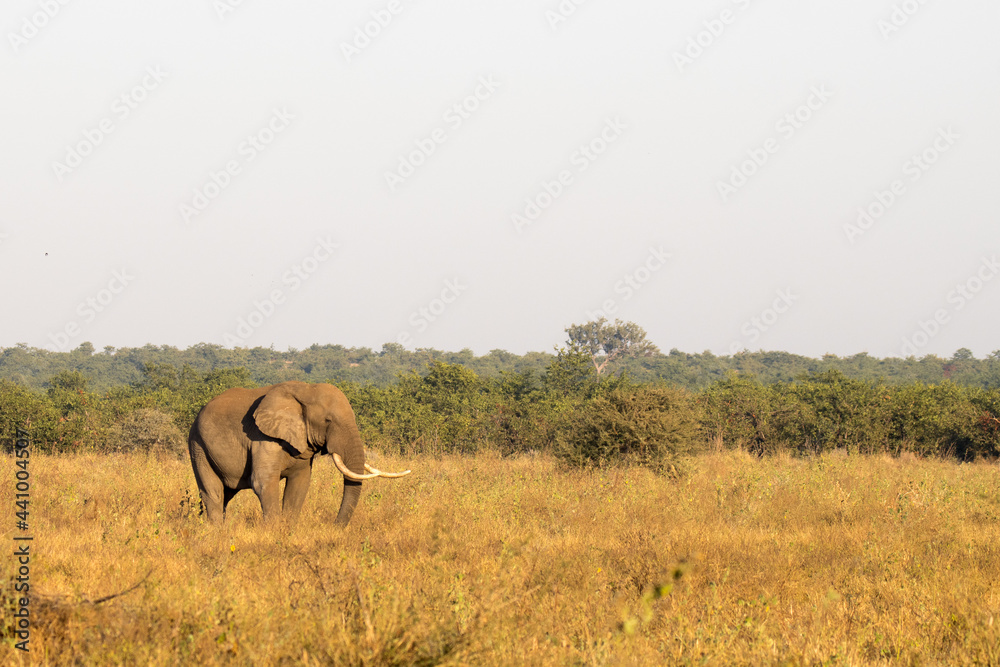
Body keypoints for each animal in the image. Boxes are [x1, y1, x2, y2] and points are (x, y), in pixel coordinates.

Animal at [188, 380, 409, 526]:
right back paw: (217, 532)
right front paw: (273, 533)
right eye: (328, 421)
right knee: (213, 492)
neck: (307, 390)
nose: (334, 526)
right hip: (198, 447)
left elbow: (300, 484)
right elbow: (263, 482)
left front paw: (288, 531)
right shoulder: (262, 437)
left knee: (226, 493)